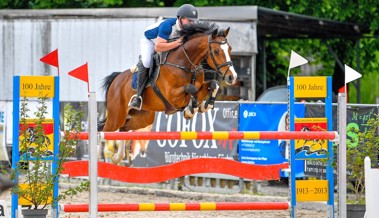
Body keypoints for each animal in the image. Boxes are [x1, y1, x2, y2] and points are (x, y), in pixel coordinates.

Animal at [99, 22, 239, 164]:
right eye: (216, 51)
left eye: (230, 49)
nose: (232, 77)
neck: (186, 63)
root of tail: (116, 78)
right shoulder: (173, 97)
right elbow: (191, 89)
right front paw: (191, 110)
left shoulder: (200, 86)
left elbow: (213, 84)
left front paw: (205, 105)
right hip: (117, 116)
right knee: (105, 132)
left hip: (143, 117)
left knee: (123, 129)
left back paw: (118, 157)